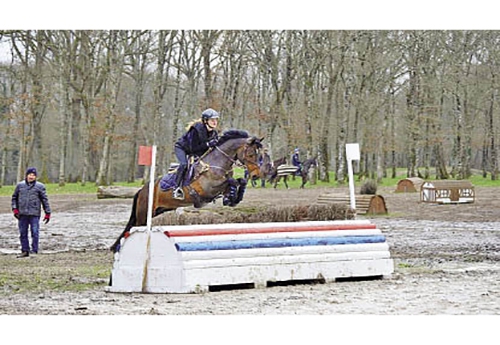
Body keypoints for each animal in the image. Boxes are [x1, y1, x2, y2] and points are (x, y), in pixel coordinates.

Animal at [111, 129, 264, 250]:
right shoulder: (208, 189)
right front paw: (232, 197)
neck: (217, 164)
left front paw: (233, 198)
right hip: (144, 213)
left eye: (259, 155)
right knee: (134, 227)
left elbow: (239, 181)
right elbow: (231, 181)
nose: (256, 175)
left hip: (158, 210)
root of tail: (142, 190)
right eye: (251, 154)